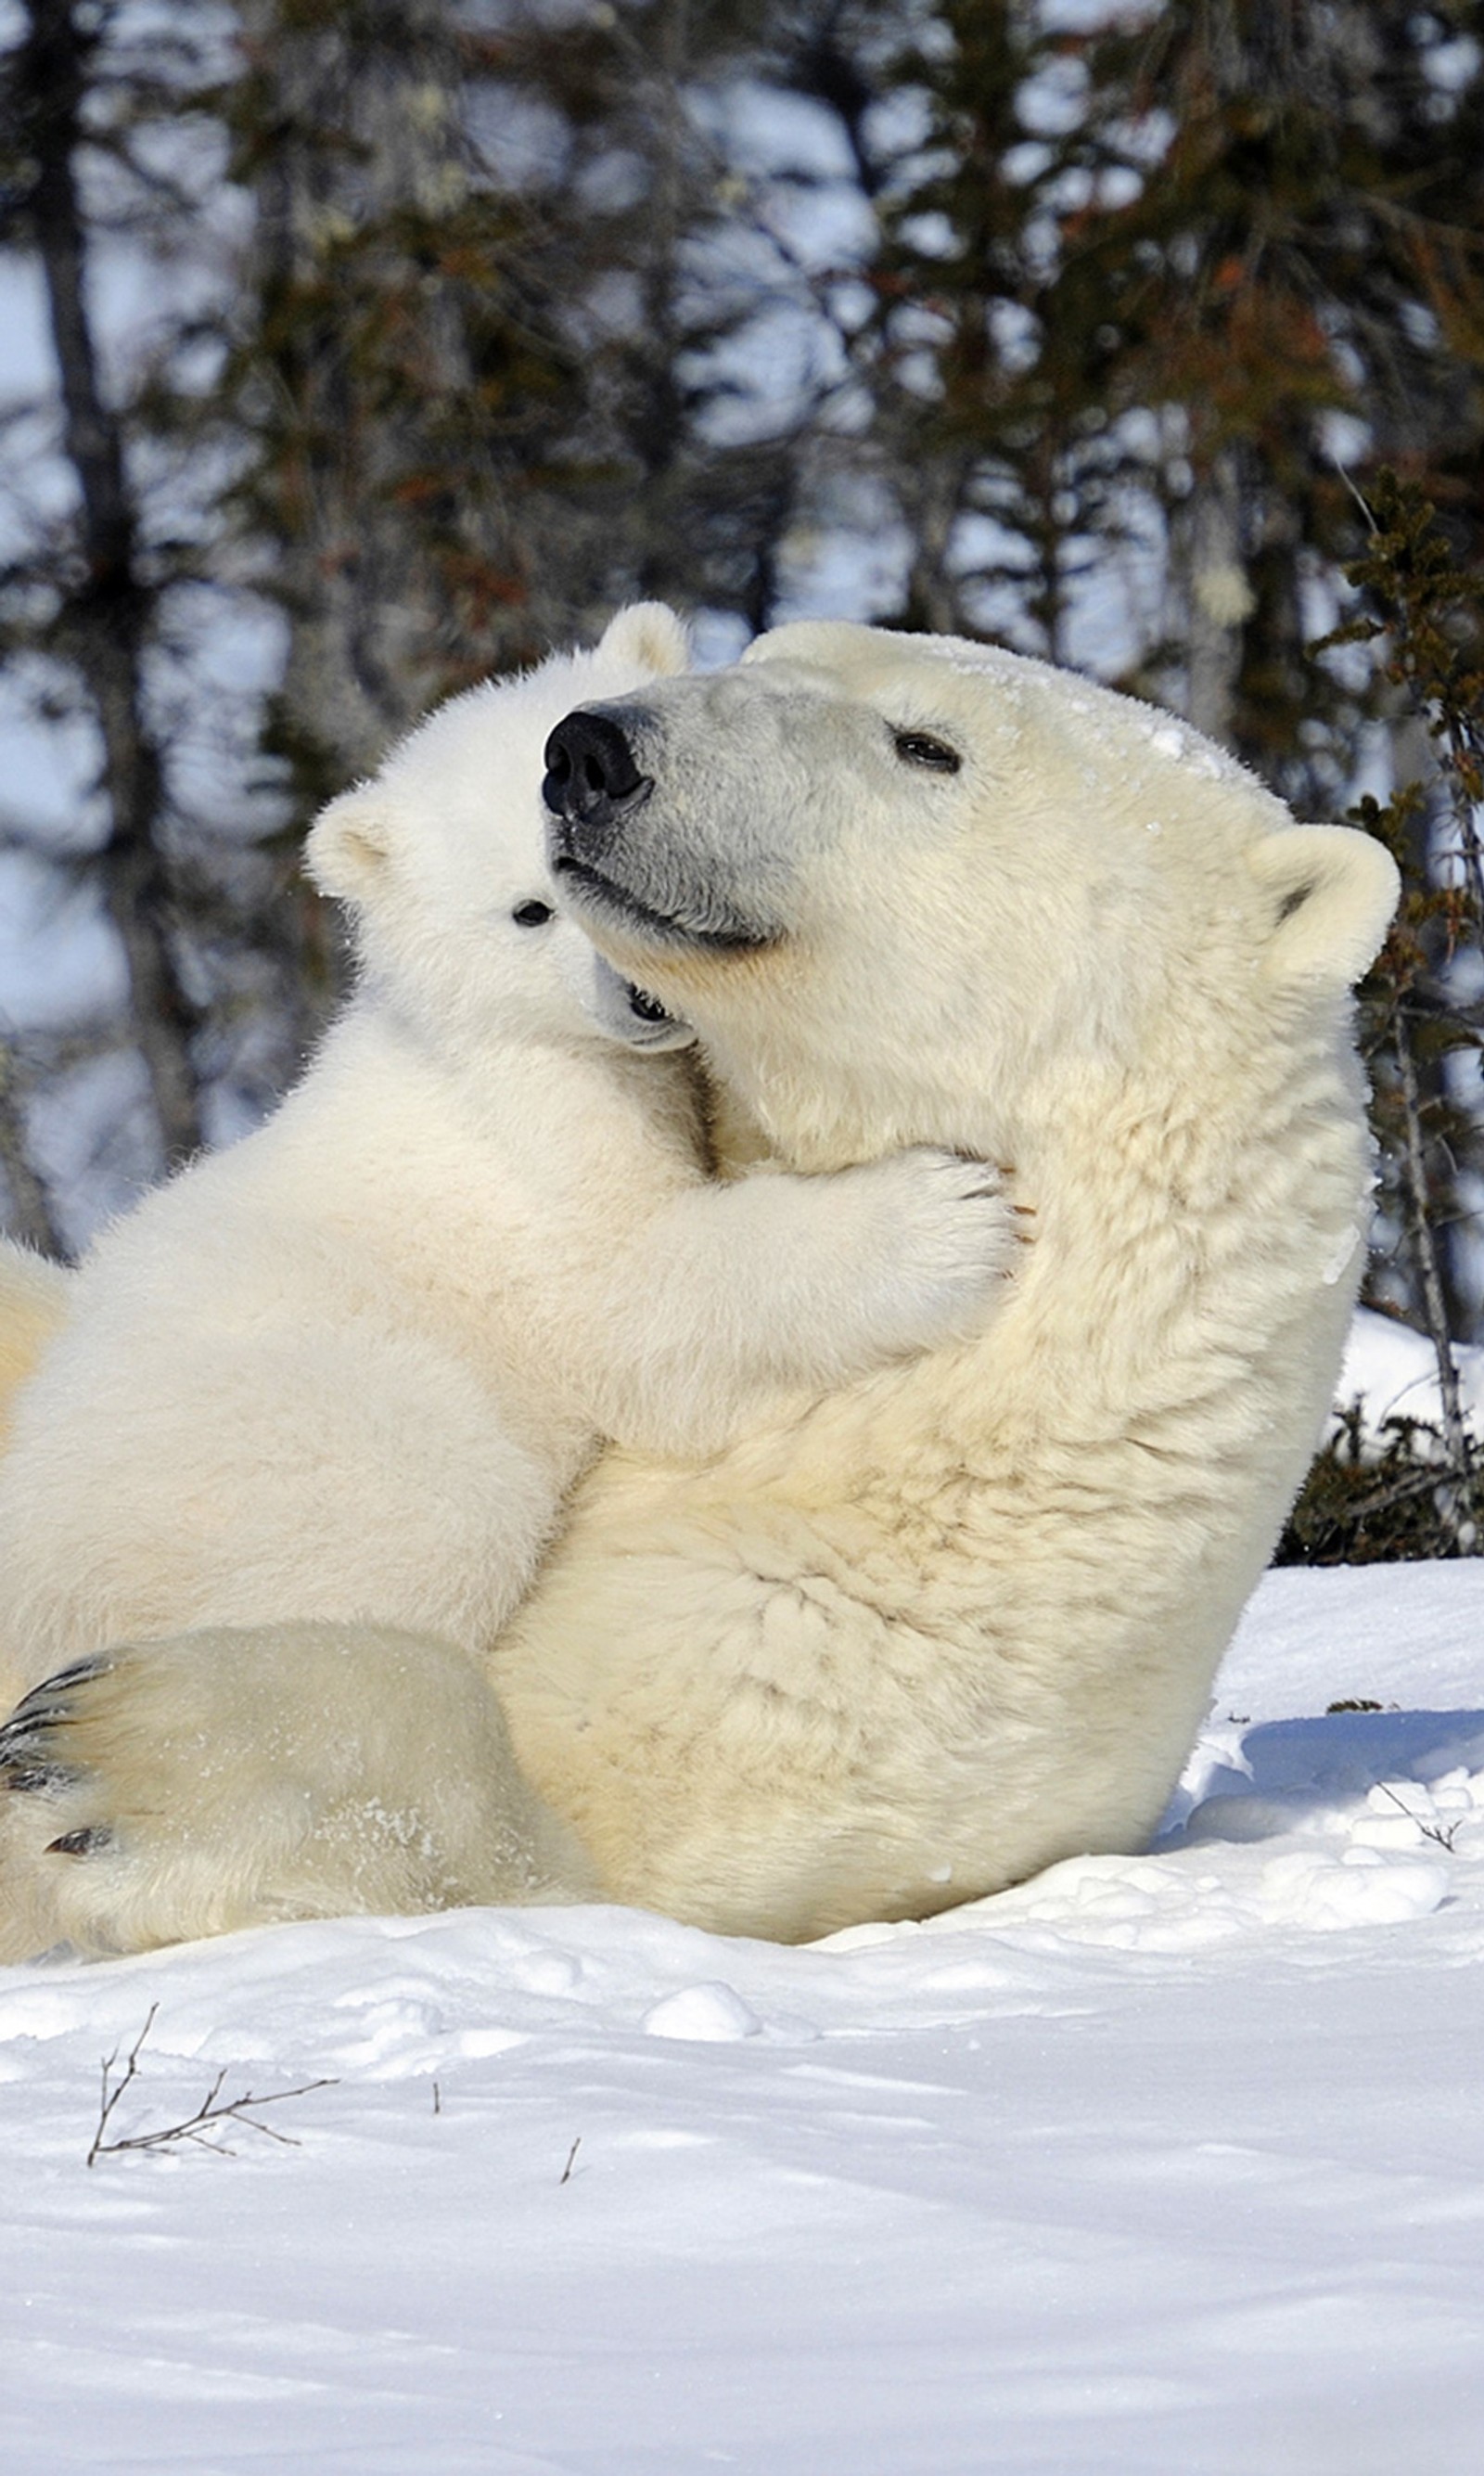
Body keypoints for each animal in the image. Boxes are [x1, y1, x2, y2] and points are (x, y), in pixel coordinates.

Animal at [0, 619, 1397, 1951]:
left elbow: (595, 1836)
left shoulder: (852, 1650)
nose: (591, 755)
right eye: (766, 651)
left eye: (927, 746)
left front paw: (108, 1752)